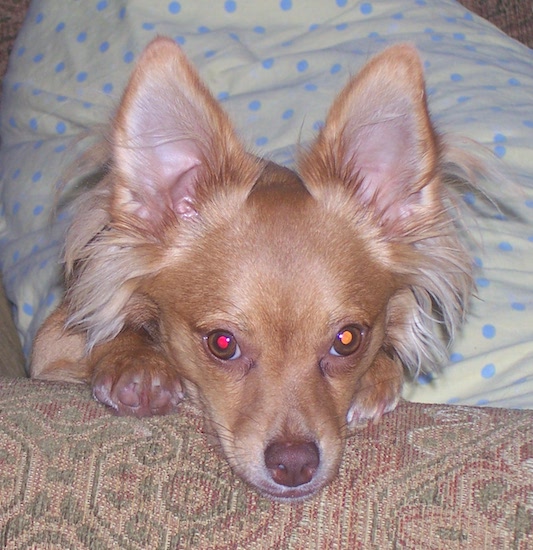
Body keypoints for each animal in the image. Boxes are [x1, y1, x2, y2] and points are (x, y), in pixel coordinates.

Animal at [31, 38, 476, 502]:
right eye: (222, 344)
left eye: (348, 340)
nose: (294, 463)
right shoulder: (51, 344)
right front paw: (136, 362)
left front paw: (376, 376)